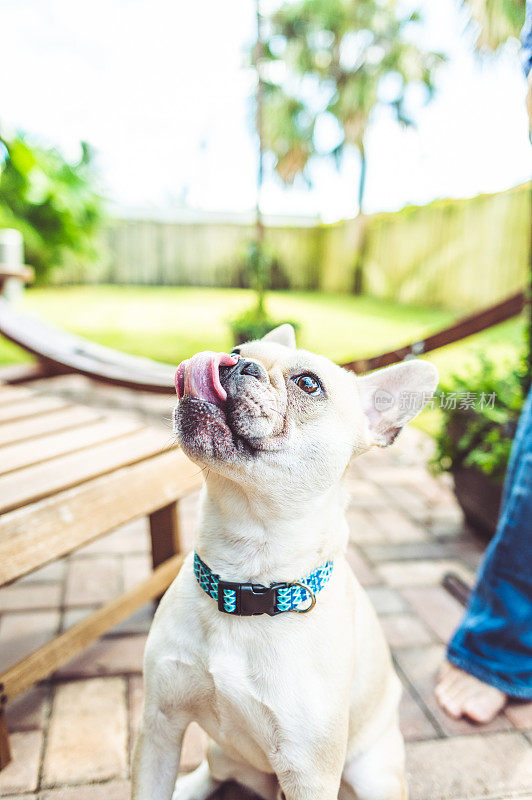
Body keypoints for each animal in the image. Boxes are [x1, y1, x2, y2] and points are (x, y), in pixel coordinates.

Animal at [132, 324, 436, 800]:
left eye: (308, 383)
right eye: (236, 349)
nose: (233, 361)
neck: (246, 574)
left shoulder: (309, 772)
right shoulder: (159, 726)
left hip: (374, 775)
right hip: (219, 752)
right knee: (213, 770)